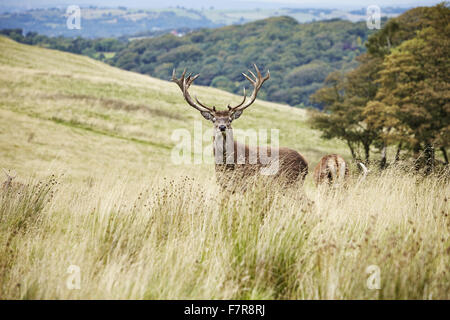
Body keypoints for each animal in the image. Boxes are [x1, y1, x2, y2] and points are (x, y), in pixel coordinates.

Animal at [171, 65, 308, 190]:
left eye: (229, 119)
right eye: (214, 120)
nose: (222, 127)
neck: (226, 164)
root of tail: (305, 163)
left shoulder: (243, 183)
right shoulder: (223, 185)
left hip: (290, 182)